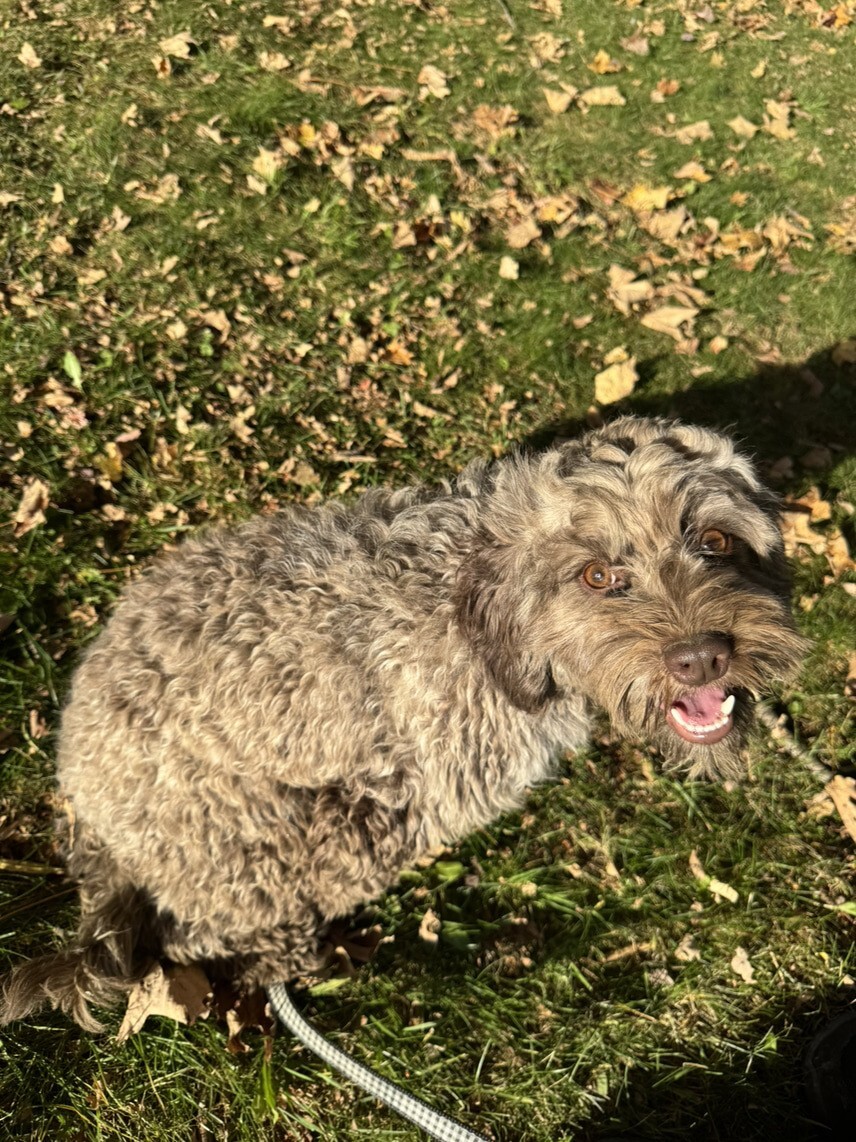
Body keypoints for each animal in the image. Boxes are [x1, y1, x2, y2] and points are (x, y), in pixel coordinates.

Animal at [0, 417, 805, 1031]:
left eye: (716, 541)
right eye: (598, 576)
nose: (702, 657)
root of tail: (86, 806)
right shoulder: (430, 775)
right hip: (310, 841)